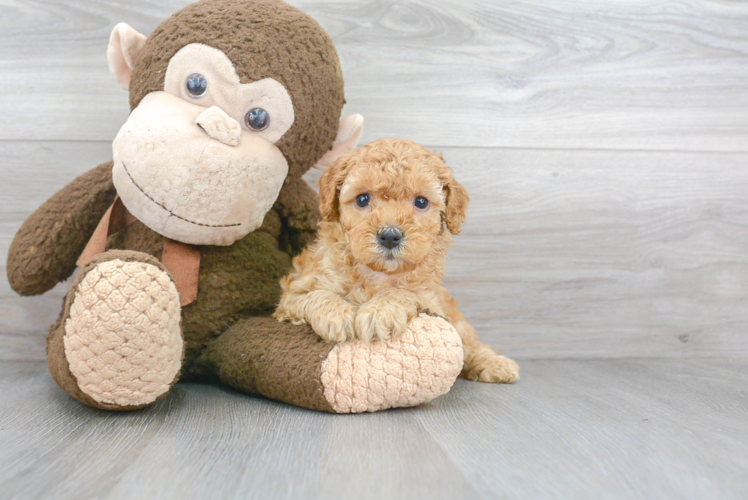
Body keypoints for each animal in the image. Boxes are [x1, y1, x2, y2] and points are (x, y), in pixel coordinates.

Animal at [274, 138, 520, 382]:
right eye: (362, 199)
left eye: (421, 202)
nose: (390, 236)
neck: (377, 274)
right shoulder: (291, 296)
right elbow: (316, 295)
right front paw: (337, 316)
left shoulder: (430, 298)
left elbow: (402, 292)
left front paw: (378, 312)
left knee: (468, 343)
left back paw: (495, 363)